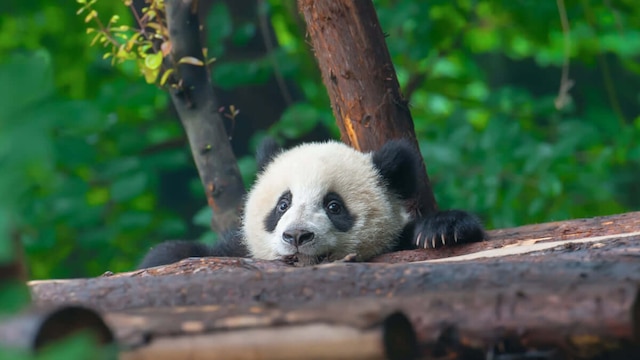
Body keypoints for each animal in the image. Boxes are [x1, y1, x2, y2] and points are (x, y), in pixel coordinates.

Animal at [138, 139, 482, 268]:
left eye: (334, 206)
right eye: (283, 205)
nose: (297, 236)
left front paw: (443, 229)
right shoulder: (236, 249)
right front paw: (163, 257)